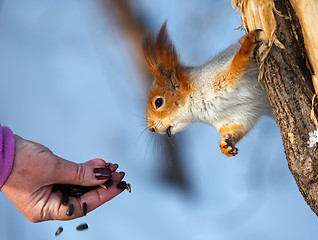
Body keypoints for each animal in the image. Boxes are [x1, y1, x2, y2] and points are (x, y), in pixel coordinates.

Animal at [143, 23, 272, 158]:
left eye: (158, 102)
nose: (151, 128)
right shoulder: (237, 116)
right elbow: (237, 129)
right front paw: (224, 144)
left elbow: (238, 63)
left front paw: (246, 47)